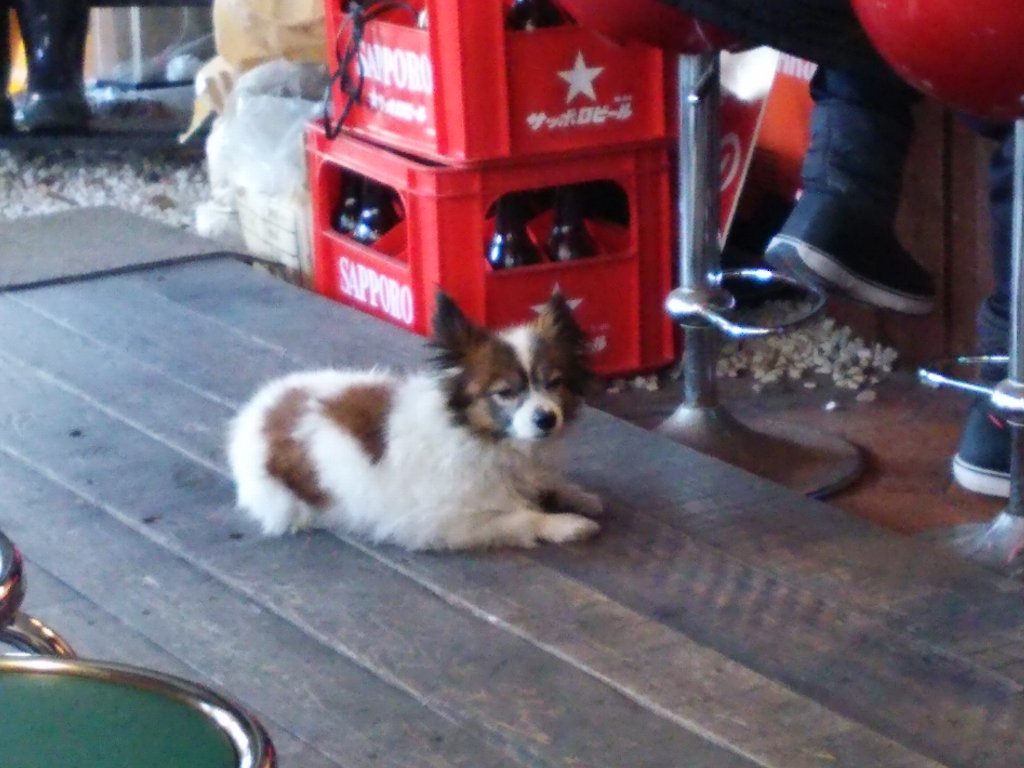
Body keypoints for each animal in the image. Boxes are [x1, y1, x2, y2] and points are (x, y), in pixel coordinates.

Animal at [226, 290, 598, 548]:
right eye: (504, 392)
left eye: (554, 383)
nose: (546, 419)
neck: (478, 435)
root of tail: (259, 411)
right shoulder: (440, 522)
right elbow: (521, 519)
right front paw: (565, 524)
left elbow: (554, 482)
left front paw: (580, 496)